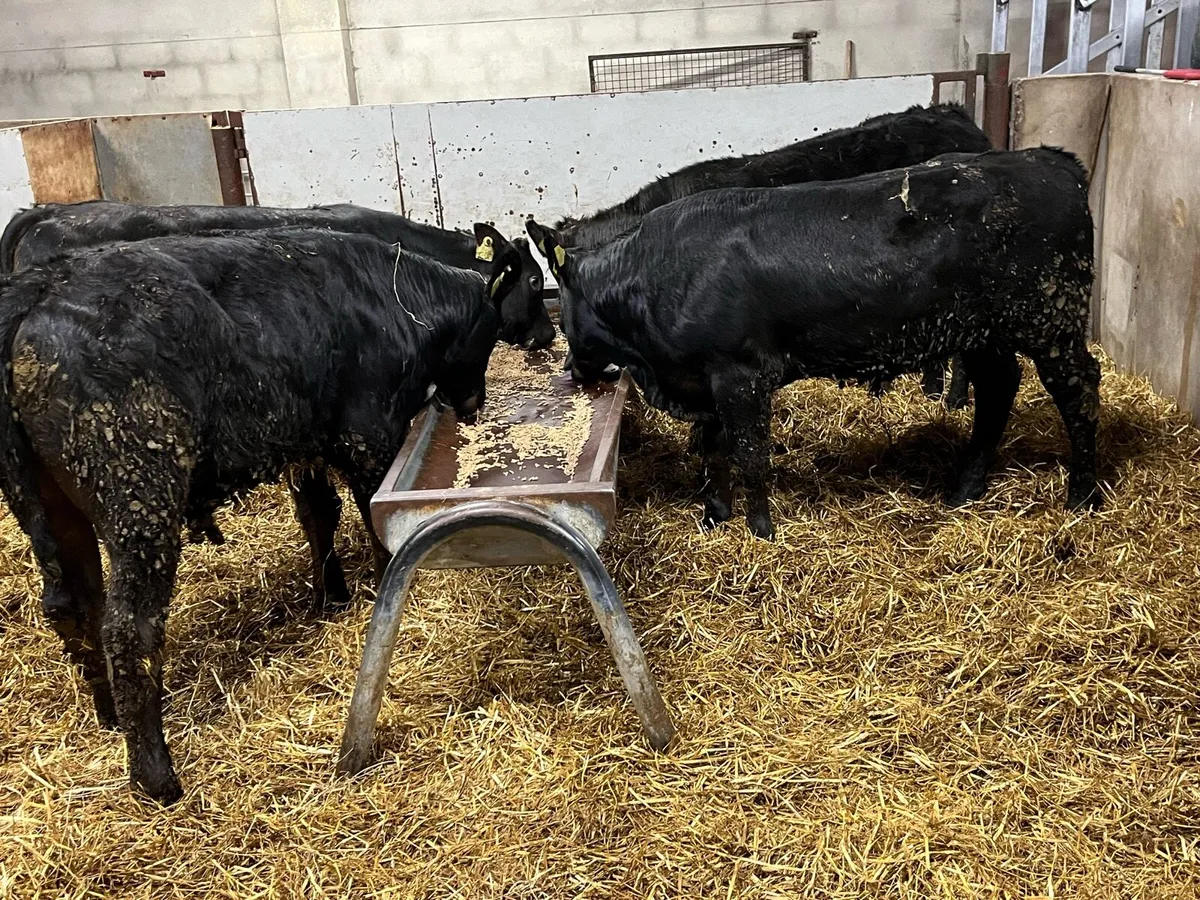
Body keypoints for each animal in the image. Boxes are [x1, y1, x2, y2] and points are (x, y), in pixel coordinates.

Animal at [0, 226, 520, 804]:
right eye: (491, 330)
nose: (473, 404)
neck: (393, 295)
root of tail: (42, 286)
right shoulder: (368, 440)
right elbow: (375, 527)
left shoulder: (306, 445)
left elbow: (319, 518)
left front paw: (331, 597)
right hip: (138, 495)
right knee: (127, 628)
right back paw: (156, 778)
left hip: (47, 506)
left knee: (72, 606)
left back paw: (110, 715)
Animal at [527, 147, 1101, 539]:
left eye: (562, 310)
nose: (571, 369)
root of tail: (1049, 160)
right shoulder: (705, 380)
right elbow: (714, 450)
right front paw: (715, 514)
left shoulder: (740, 374)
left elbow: (750, 454)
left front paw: (760, 529)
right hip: (983, 331)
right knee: (998, 389)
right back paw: (965, 488)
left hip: (1051, 320)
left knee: (1079, 393)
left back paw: (1083, 495)